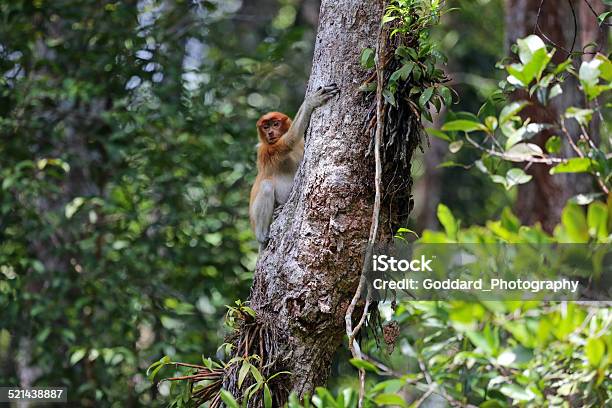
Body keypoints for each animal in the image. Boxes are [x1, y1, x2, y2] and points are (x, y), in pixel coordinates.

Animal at [251, 84, 342, 244]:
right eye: (266, 127)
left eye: (275, 124)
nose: (270, 133)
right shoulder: (266, 150)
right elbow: (289, 140)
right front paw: (312, 101)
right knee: (266, 186)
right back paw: (262, 236)